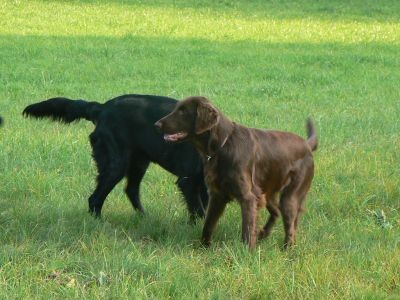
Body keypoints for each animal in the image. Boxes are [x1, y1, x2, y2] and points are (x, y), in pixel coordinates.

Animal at [23, 95, 208, 221]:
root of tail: (102, 107)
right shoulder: (188, 180)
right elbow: (200, 212)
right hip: (116, 164)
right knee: (95, 199)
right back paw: (100, 223)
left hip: (138, 162)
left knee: (131, 190)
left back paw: (144, 218)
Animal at [155, 96, 318, 248]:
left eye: (182, 111)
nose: (157, 124)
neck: (223, 145)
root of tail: (307, 145)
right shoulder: (217, 195)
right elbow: (208, 225)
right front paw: (203, 247)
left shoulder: (248, 197)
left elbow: (247, 229)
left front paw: (247, 252)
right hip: (267, 191)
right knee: (276, 212)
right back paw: (263, 235)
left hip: (290, 196)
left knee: (290, 226)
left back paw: (287, 249)